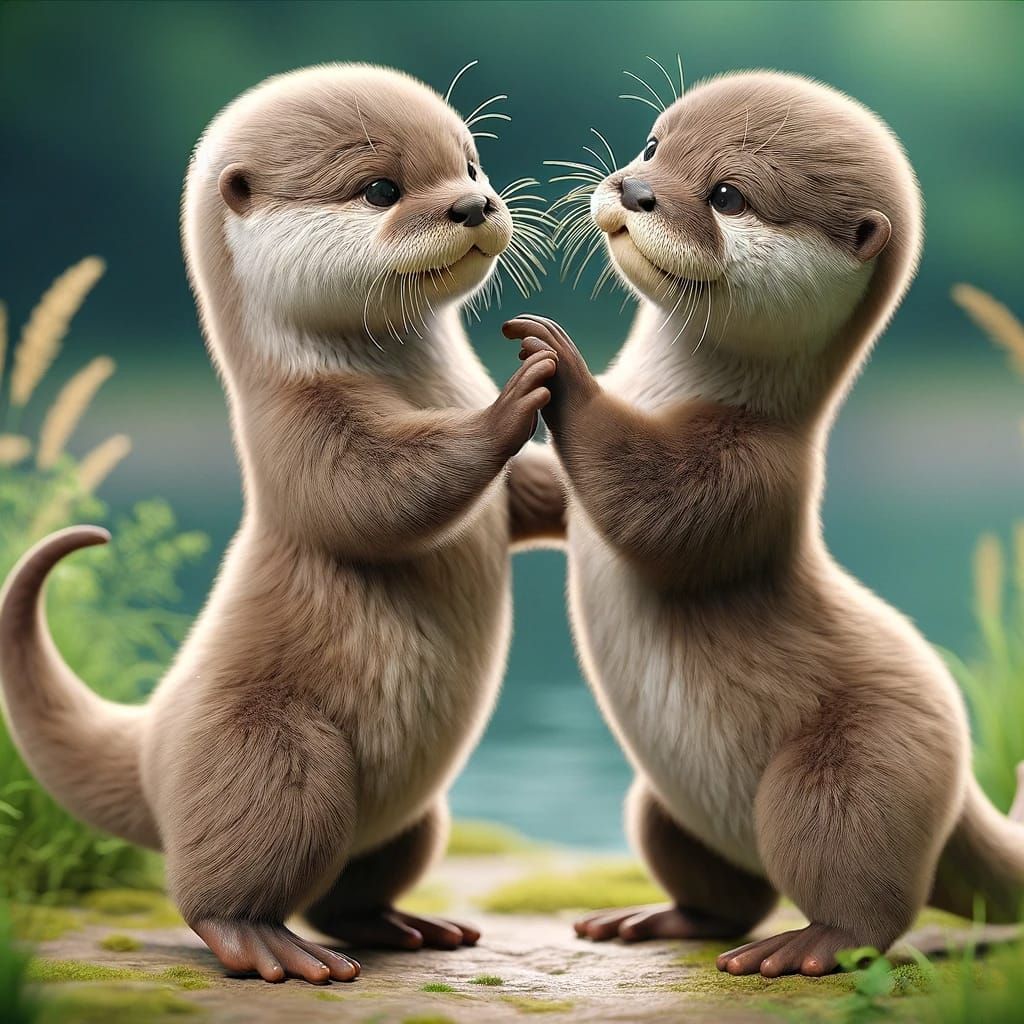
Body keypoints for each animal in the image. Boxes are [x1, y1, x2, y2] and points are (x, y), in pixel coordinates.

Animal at [0, 64, 562, 984]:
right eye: (381, 189)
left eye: (471, 163)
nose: (475, 205)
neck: (423, 384)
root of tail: (152, 746)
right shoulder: (297, 429)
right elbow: (376, 494)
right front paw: (517, 396)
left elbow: (527, 500)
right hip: (274, 756)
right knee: (218, 886)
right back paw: (271, 946)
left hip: (415, 817)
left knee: (352, 888)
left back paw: (406, 924)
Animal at [503, 70, 1024, 977]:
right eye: (653, 146)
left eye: (728, 195)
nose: (633, 189)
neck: (664, 391)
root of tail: (961, 781)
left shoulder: (755, 470)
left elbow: (651, 507)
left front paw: (559, 366)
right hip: (664, 806)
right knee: (720, 891)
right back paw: (656, 918)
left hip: (863, 765)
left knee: (864, 890)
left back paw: (805, 946)